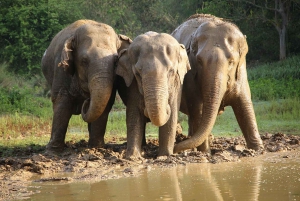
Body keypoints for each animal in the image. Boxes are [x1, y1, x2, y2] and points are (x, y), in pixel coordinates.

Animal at [41, 19, 131, 151]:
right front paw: (53, 149)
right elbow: (61, 100)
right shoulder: (61, 68)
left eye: (116, 61)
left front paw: (96, 147)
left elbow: (107, 102)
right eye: (84, 61)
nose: (87, 100)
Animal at [116, 31, 190, 159]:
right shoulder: (132, 85)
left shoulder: (177, 84)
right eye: (137, 73)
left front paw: (165, 156)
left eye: (171, 71)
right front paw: (133, 157)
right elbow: (134, 114)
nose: (166, 107)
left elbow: (172, 115)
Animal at [171, 13, 262, 152]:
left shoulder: (241, 73)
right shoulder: (191, 77)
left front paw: (258, 148)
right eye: (199, 60)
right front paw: (205, 152)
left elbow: (245, 106)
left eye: (231, 62)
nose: (175, 148)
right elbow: (198, 109)